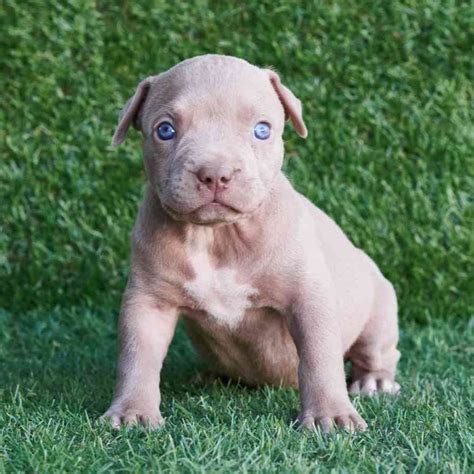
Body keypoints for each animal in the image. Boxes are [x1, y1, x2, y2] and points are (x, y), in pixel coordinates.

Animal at [103, 54, 400, 434]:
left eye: (262, 129)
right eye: (165, 130)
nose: (215, 173)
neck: (218, 237)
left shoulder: (309, 297)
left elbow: (319, 357)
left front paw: (330, 414)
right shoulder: (148, 302)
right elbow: (136, 356)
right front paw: (133, 411)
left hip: (379, 310)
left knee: (378, 351)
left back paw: (374, 381)